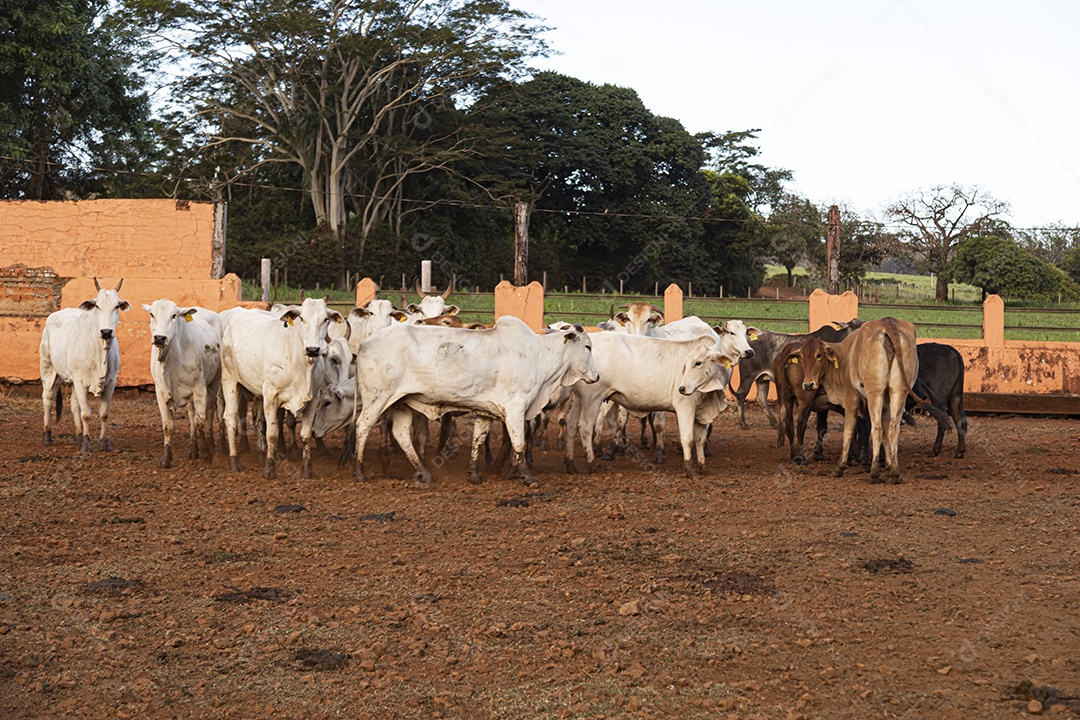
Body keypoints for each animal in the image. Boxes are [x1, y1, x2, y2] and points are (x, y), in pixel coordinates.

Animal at [39, 278, 131, 453]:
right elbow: (86, 413)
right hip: (48, 369)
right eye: (97, 306)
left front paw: (104, 442)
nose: (106, 332)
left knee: (74, 405)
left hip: (73, 380)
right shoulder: (80, 381)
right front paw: (87, 443)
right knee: (48, 399)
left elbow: (103, 413)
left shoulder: (111, 381)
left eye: (117, 306)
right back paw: (47, 436)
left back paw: (78, 436)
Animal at [142, 297, 222, 468]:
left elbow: (200, 422)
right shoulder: (160, 391)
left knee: (209, 413)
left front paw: (206, 452)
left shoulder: (199, 388)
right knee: (191, 415)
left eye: (174, 315)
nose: (159, 338)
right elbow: (168, 425)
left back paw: (211, 445)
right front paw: (166, 457)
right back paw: (192, 448)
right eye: (152, 314)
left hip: (214, 382)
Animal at [565, 332, 734, 479]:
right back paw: (592, 463)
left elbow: (700, 439)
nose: (682, 388)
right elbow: (688, 439)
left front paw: (702, 467)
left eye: (698, 363)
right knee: (585, 427)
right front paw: (690, 469)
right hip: (592, 398)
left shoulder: (701, 412)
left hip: (580, 399)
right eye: (686, 365)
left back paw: (571, 464)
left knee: (571, 425)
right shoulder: (685, 407)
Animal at [730, 319, 864, 431]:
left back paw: (774, 423)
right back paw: (743, 423)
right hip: (748, 375)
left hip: (762, 379)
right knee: (741, 395)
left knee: (761, 398)